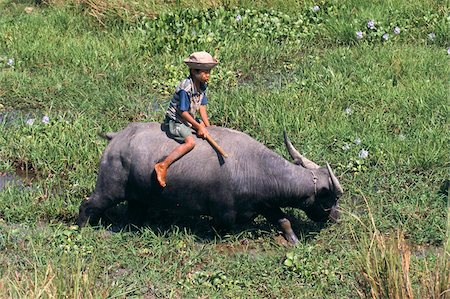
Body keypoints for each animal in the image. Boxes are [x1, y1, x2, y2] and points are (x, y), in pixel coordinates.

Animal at [78, 123, 344, 245]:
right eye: (330, 197)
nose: (336, 217)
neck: (257, 166)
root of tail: (117, 137)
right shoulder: (223, 213)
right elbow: (223, 229)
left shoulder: (266, 204)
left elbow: (284, 220)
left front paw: (294, 241)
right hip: (109, 190)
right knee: (87, 205)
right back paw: (82, 229)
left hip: (138, 199)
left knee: (132, 216)